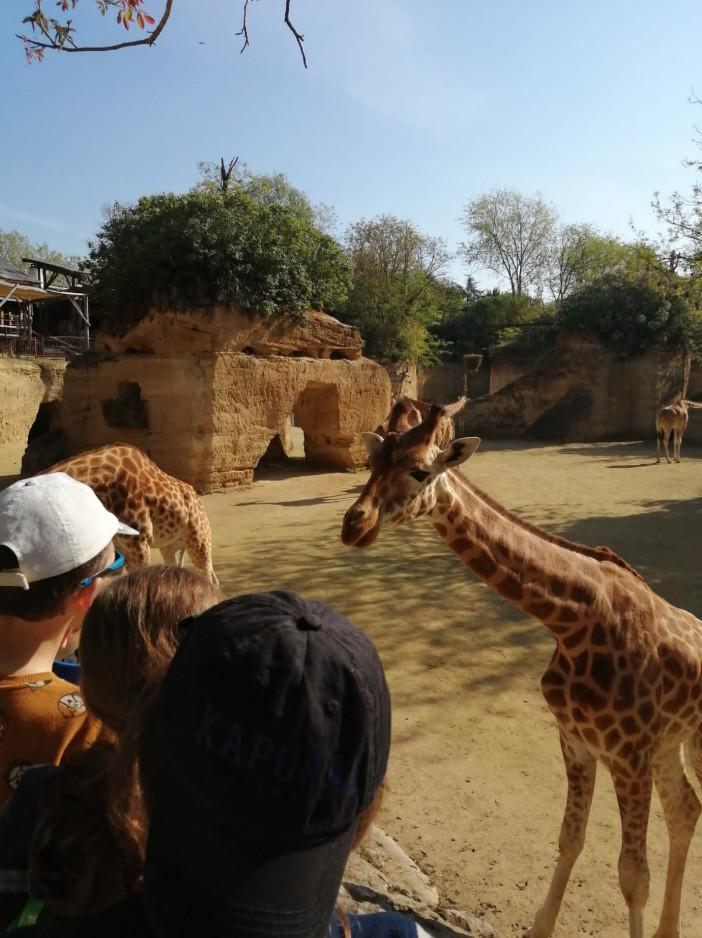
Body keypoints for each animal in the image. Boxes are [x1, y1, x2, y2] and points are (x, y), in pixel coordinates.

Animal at [40, 440, 219, 584]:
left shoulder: (140, 542)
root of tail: (198, 499)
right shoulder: (122, 547)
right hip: (170, 546)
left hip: (199, 540)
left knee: (210, 578)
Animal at [344, 398, 702, 936]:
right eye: (372, 462)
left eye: (420, 470)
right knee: (685, 809)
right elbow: (571, 840)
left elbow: (633, 875)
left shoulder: (628, 754)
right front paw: (540, 927)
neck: (574, 619)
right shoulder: (577, 741)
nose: (353, 525)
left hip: (685, 743)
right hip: (670, 743)